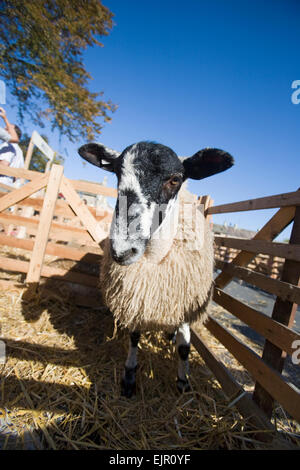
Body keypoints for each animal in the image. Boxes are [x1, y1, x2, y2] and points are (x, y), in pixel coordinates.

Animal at [78, 140, 234, 396]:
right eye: (117, 173)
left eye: (175, 179)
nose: (122, 250)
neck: (155, 258)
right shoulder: (137, 298)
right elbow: (134, 336)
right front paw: (129, 376)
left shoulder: (186, 303)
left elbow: (184, 347)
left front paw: (182, 381)